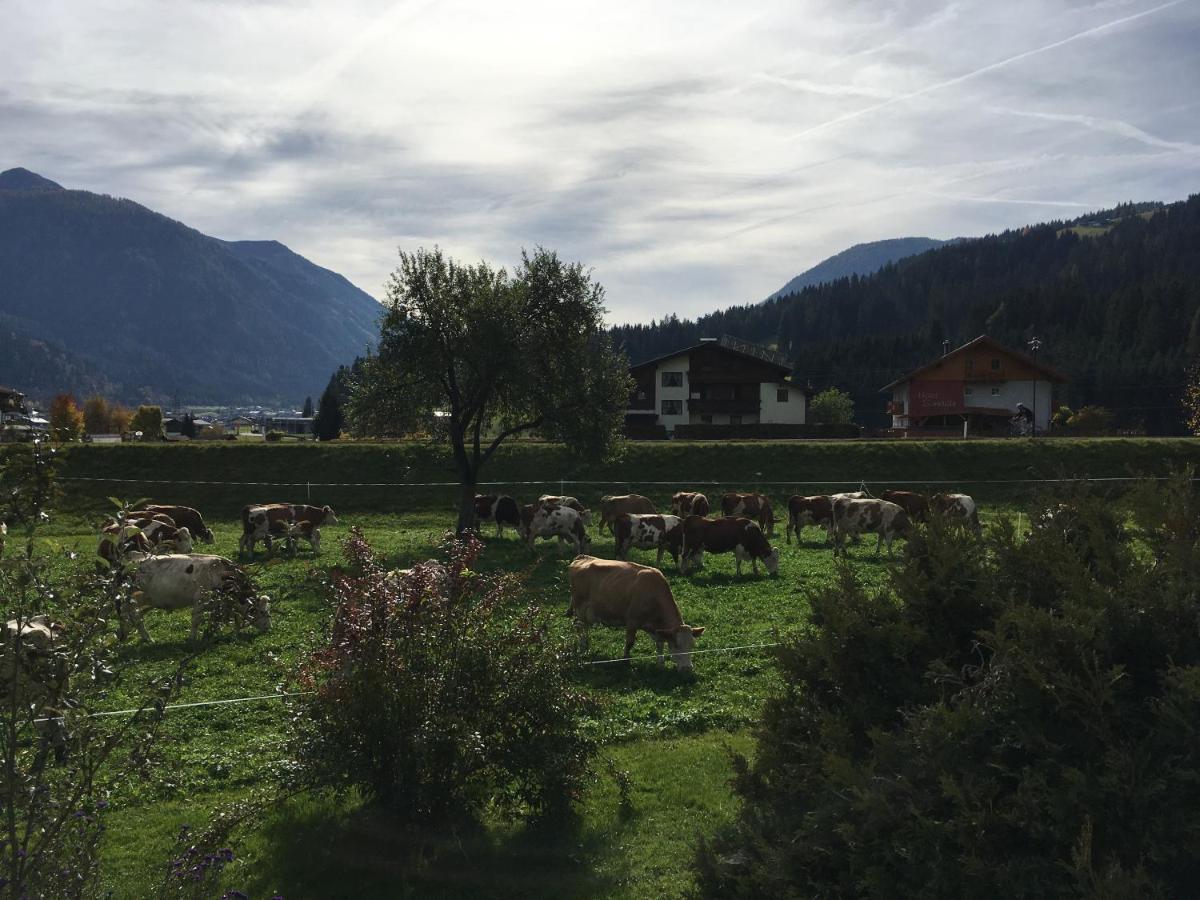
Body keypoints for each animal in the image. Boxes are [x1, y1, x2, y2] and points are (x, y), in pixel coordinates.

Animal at [124, 554, 270, 643]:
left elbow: (218, 619)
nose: (269, 628)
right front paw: (192, 639)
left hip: (149, 599)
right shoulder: (200, 599)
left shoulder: (218, 604)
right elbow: (196, 620)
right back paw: (146, 638)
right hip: (135, 596)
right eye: (262, 612)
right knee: (133, 614)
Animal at [564, 561, 700, 672]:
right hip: (580, 608)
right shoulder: (632, 622)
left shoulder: (658, 629)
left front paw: (660, 664)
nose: (687, 669)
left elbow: (660, 644)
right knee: (579, 627)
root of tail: (581, 558)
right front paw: (625, 661)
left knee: (584, 627)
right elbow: (629, 643)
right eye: (676, 645)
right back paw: (582, 649)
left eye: (693, 645)